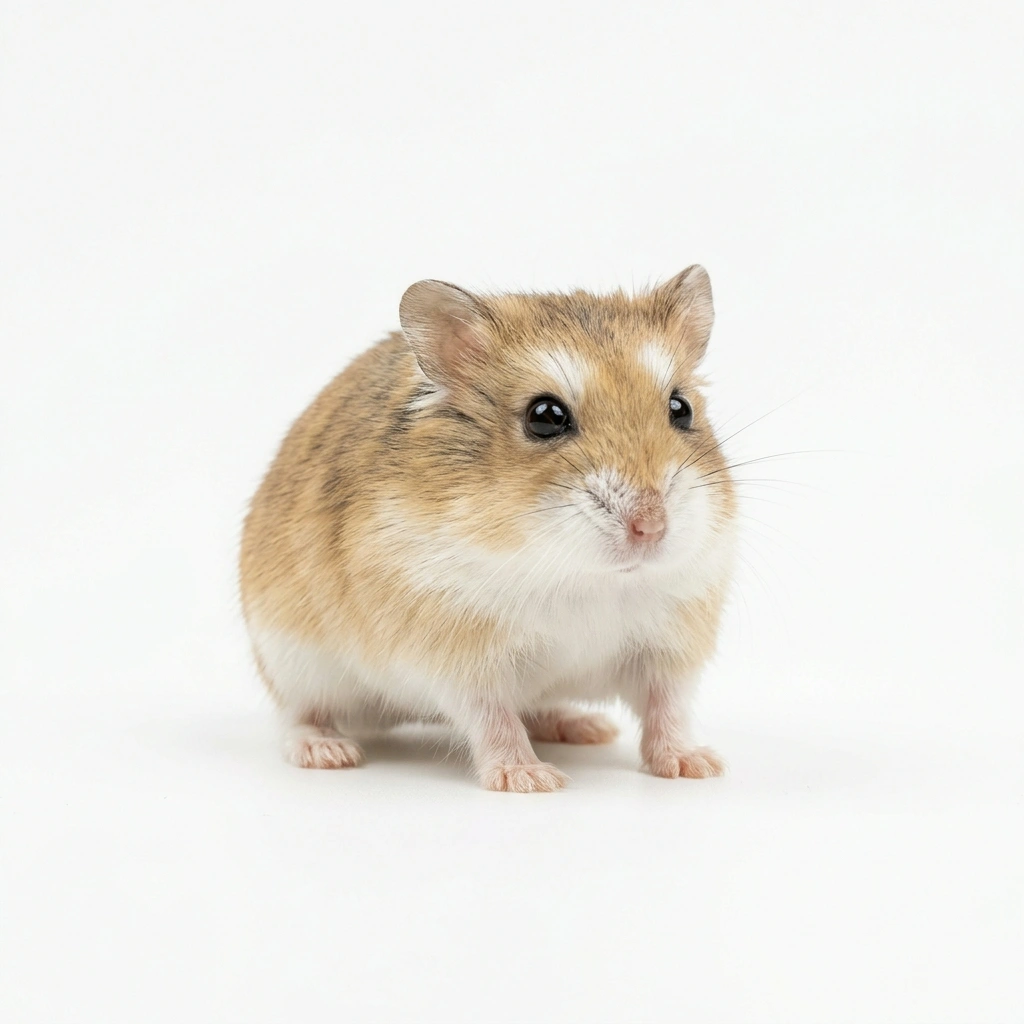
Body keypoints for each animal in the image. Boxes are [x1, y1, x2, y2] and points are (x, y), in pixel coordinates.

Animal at [239, 266, 737, 792]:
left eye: (680, 408)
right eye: (545, 417)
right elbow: (493, 718)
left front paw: (696, 766)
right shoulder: (461, 661)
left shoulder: (669, 648)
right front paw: (531, 779)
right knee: (298, 715)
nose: (650, 528)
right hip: (291, 662)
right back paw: (327, 751)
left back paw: (585, 726)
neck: (585, 577)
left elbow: (668, 709)